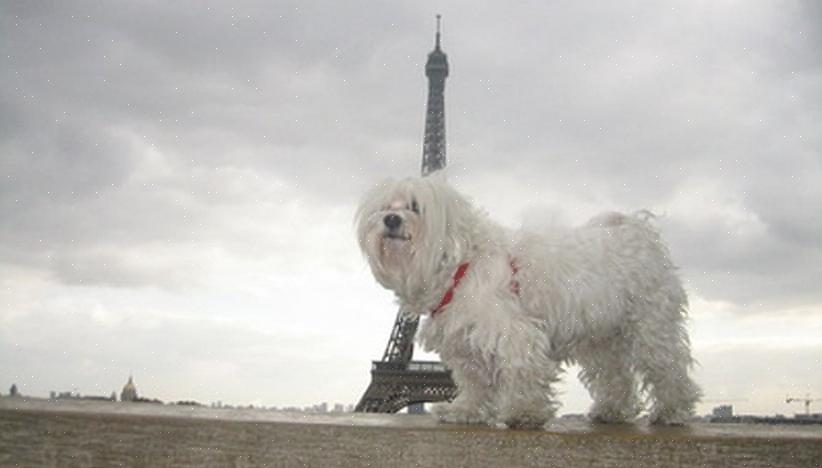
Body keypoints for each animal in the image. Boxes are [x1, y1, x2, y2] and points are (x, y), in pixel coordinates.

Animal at [356, 175, 700, 428]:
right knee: (615, 375)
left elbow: (522, 371)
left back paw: (671, 411)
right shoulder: (465, 341)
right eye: (385, 207)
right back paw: (611, 410)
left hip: (651, 327)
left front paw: (524, 413)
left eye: (415, 207)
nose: (390, 219)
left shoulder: (513, 332)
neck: (462, 262)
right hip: (603, 338)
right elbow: (474, 381)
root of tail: (637, 229)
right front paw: (465, 410)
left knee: (668, 368)